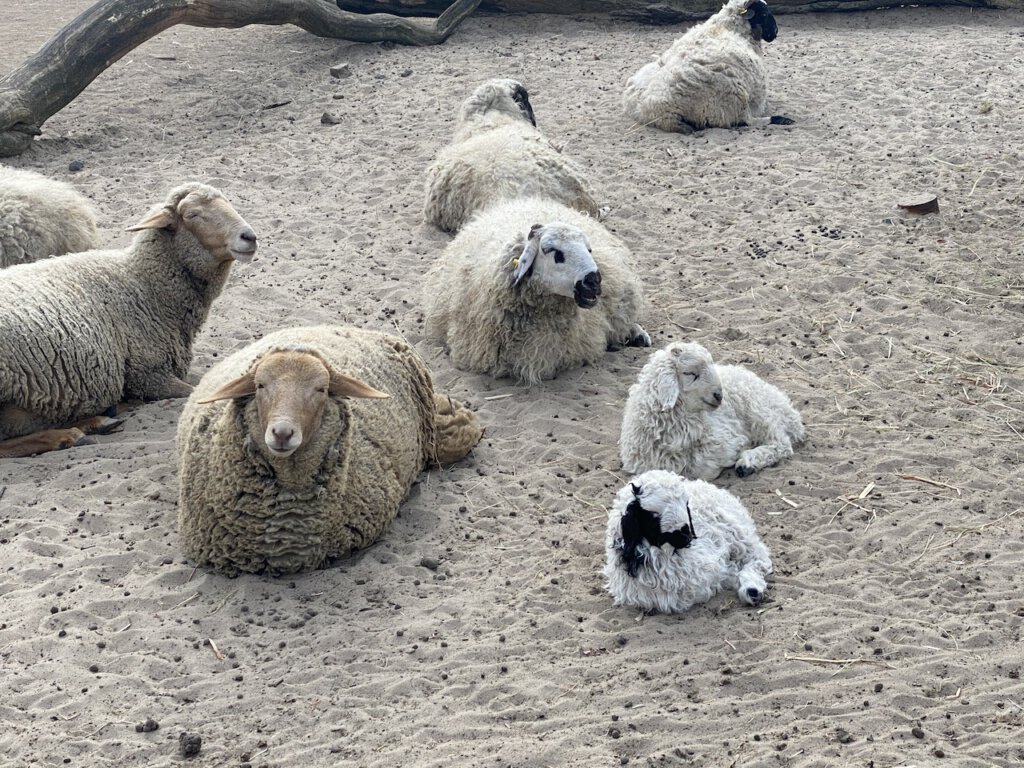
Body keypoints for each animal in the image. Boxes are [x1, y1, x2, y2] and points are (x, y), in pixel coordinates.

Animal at [0, 182, 256, 459]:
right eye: (192, 214)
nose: (249, 237)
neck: (142, 282)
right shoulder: (148, 373)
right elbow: (198, 392)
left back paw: (98, 421)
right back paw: (68, 436)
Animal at [603, 469, 772, 613]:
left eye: (686, 504)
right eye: (653, 514)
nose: (687, 535)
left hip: (738, 533)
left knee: (758, 558)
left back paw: (752, 590)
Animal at [619, 341, 805, 481]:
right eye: (690, 373)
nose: (719, 395)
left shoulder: (725, 437)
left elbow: (705, 466)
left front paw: (738, 452)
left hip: (758, 409)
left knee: (781, 444)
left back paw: (747, 463)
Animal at [622, 0, 793, 133]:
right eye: (764, 13)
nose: (775, 32)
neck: (728, 27)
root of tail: (654, 111)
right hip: (730, 102)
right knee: (745, 120)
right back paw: (781, 119)